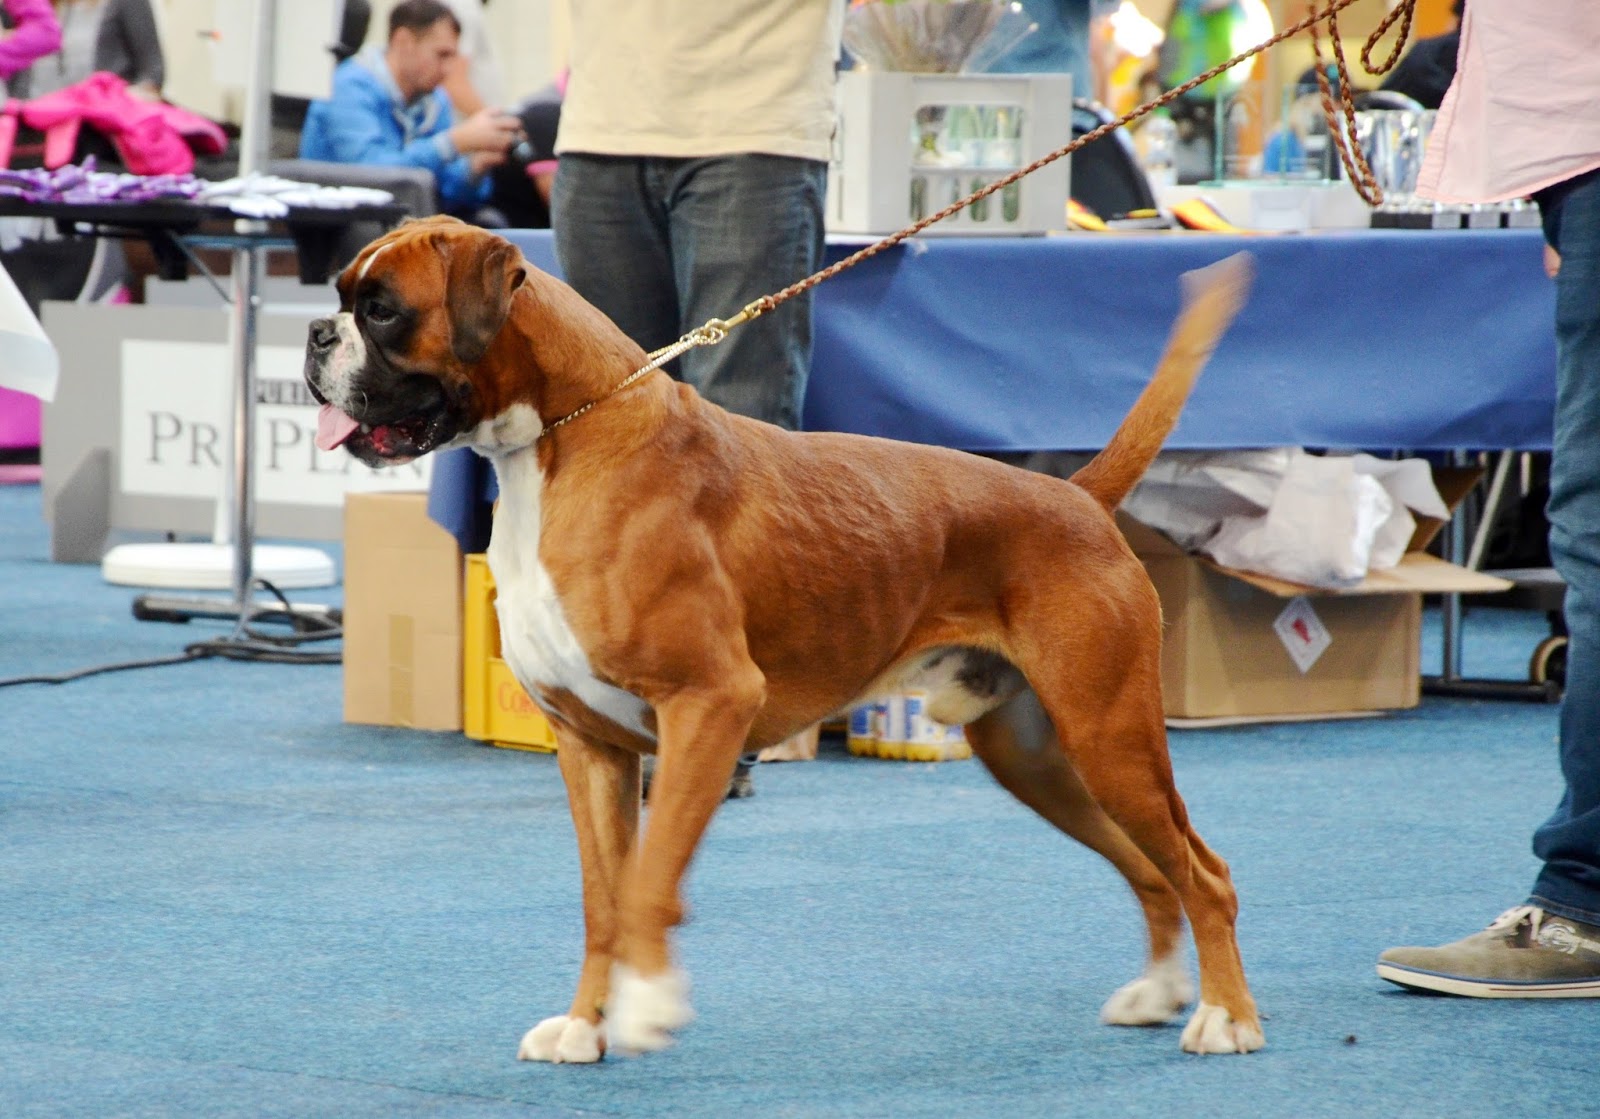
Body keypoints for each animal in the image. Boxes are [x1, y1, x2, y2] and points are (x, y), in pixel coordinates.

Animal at [304, 215, 1263, 1061]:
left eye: (382, 310)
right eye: (344, 297)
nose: (316, 332)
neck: (566, 436)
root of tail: (1079, 496)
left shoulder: (709, 708)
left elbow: (651, 881)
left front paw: (650, 1005)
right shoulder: (592, 747)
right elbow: (602, 900)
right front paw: (585, 1026)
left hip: (1109, 737)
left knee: (1205, 870)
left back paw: (1225, 1018)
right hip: (1039, 758)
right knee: (1154, 869)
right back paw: (1162, 990)